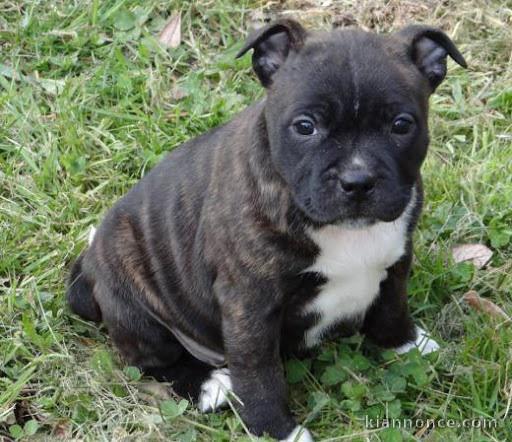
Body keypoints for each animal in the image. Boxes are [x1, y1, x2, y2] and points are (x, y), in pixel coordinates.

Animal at [66, 19, 466, 440]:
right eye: (305, 127)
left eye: (401, 125)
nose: (357, 180)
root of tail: (88, 268)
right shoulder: (250, 304)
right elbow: (259, 372)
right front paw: (278, 430)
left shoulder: (396, 261)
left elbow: (392, 308)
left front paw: (406, 345)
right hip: (135, 306)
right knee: (153, 361)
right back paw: (210, 385)